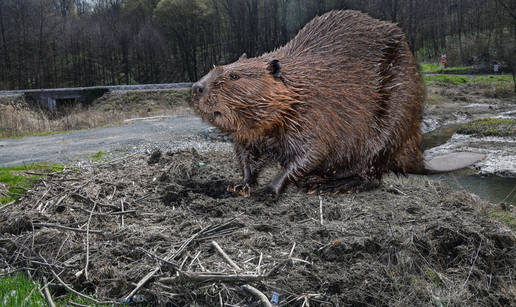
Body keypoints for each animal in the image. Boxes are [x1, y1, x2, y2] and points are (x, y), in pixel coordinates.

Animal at [191, 9, 486, 201]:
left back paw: (327, 185)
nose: (196, 88)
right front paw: (240, 185)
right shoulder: (250, 135)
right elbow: (246, 157)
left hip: (393, 120)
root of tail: (418, 157)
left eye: (234, 76)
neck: (298, 88)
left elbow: (309, 154)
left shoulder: (313, 116)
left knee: (372, 176)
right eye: (217, 68)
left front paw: (269, 190)